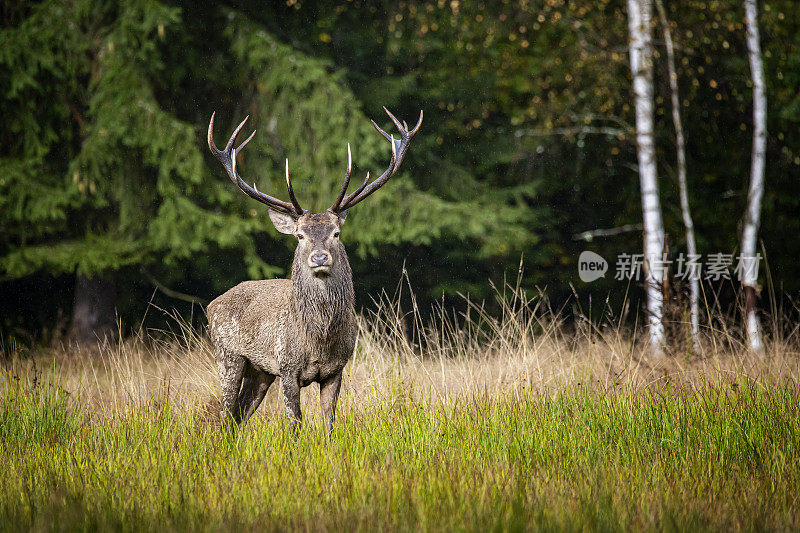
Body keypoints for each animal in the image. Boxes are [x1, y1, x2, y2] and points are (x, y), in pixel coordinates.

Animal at [203, 106, 422, 430]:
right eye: (299, 235)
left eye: (336, 233)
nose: (319, 258)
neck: (319, 341)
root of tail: (212, 305)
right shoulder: (286, 367)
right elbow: (295, 425)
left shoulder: (336, 369)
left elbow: (330, 423)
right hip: (227, 355)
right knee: (225, 415)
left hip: (260, 371)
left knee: (239, 415)